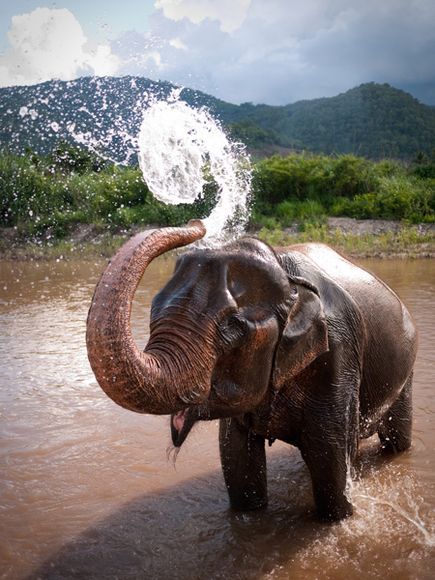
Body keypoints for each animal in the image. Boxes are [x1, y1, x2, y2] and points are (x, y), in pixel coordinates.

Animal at [87, 221, 418, 520]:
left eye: (232, 325)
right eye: (155, 307)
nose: (198, 223)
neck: (286, 272)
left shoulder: (337, 355)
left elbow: (330, 460)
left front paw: (339, 516)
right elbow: (236, 459)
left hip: (408, 367)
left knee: (395, 440)